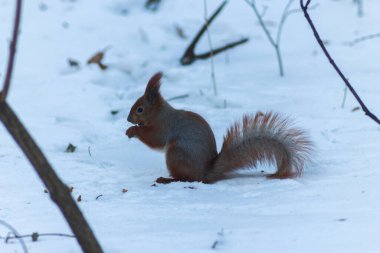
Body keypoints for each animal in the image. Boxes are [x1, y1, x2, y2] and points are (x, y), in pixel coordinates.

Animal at [126, 72, 314, 183]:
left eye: (140, 109)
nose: (128, 119)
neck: (159, 113)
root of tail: (206, 173)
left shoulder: (165, 126)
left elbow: (155, 139)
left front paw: (133, 131)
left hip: (176, 154)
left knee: (187, 179)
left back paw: (167, 179)